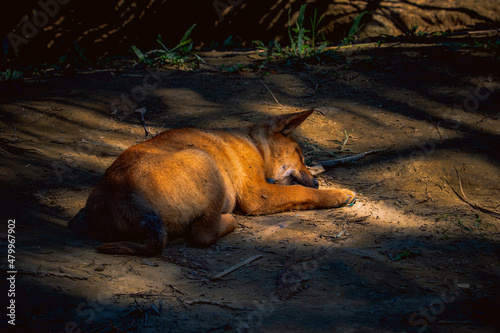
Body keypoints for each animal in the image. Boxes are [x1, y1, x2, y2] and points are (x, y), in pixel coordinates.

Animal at [86, 110, 356, 255]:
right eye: (299, 154)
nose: (317, 183)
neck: (255, 143)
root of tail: (128, 194)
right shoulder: (259, 194)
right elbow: (299, 191)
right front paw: (338, 194)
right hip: (205, 161)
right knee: (202, 233)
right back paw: (229, 220)